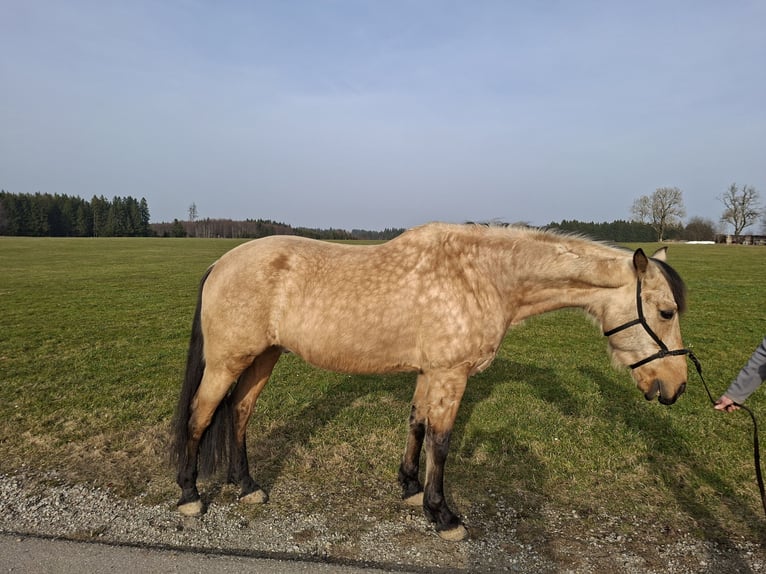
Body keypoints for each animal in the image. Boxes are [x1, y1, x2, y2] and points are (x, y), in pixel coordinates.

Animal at [171, 222, 690, 541]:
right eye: (666, 312)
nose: (677, 386)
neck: (483, 276)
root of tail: (221, 264)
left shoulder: (429, 374)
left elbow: (417, 426)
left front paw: (408, 488)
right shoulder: (449, 374)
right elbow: (441, 441)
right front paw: (442, 515)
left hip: (262, 358)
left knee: (239, 413)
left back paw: (247, 486)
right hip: (228, 362)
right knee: (199, 417)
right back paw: (190, 495)